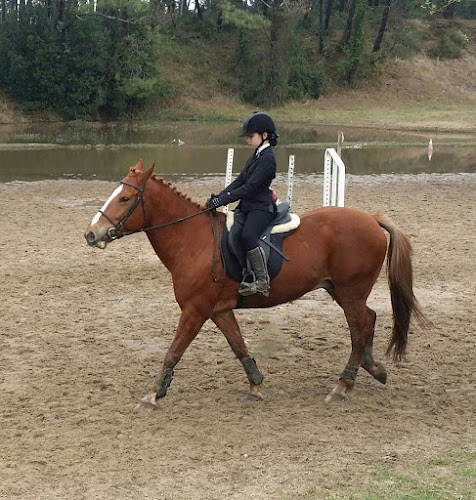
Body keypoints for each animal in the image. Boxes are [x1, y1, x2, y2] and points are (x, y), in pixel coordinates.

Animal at [83, 159, 426, 406]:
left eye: (125, 198)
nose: (91, 234)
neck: (193, 240)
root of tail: (372, 219)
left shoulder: (195, 310)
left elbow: (174, 351)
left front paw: (154, 394)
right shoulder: (218, 310)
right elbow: (239, 346)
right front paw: (256, 385)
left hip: (350, 292)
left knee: (360, 329)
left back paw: (343, 386)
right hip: (342, 292)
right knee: (368, 321)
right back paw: (372, 369)